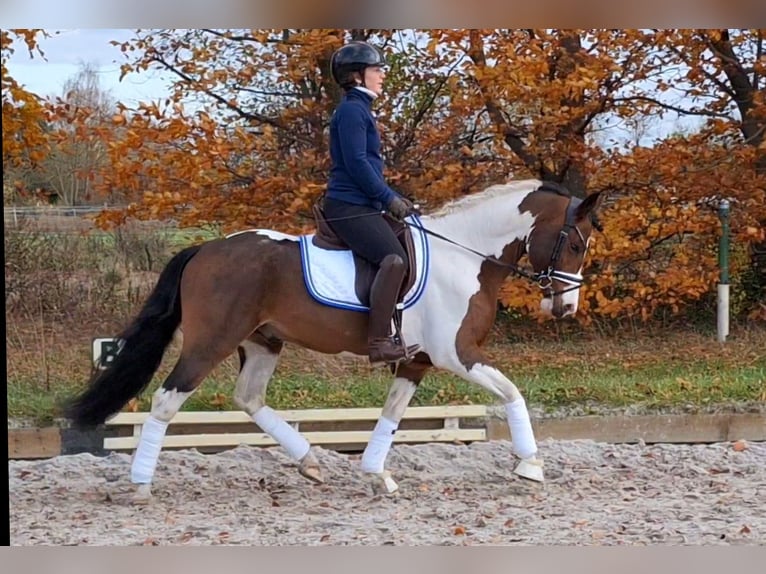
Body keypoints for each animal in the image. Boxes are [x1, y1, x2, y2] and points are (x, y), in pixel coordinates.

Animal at [66, 179, 608, 504]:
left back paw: (308, 462)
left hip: (263, 342)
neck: (465, 257)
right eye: (576, 243)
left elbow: (391, 416)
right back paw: (141, 484)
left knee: (249, 397)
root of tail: (206, 248)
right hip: (210, 342)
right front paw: (531, 465)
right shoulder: (458, 355)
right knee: (165, 401)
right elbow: (514, 393)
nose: (565, 309)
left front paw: (375, 474)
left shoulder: (417, 361)